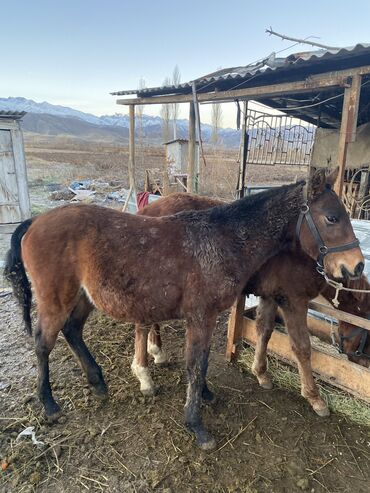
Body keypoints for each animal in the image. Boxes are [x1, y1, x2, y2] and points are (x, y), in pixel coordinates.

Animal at [137, 187, 370, 416]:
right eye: (332, 218)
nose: (358, 265)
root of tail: (148, 212)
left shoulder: (271, 295)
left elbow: (264, 331)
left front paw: (260, 373)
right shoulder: (294, 300)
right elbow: (302, 347)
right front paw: (314, 397)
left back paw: (156, 351)